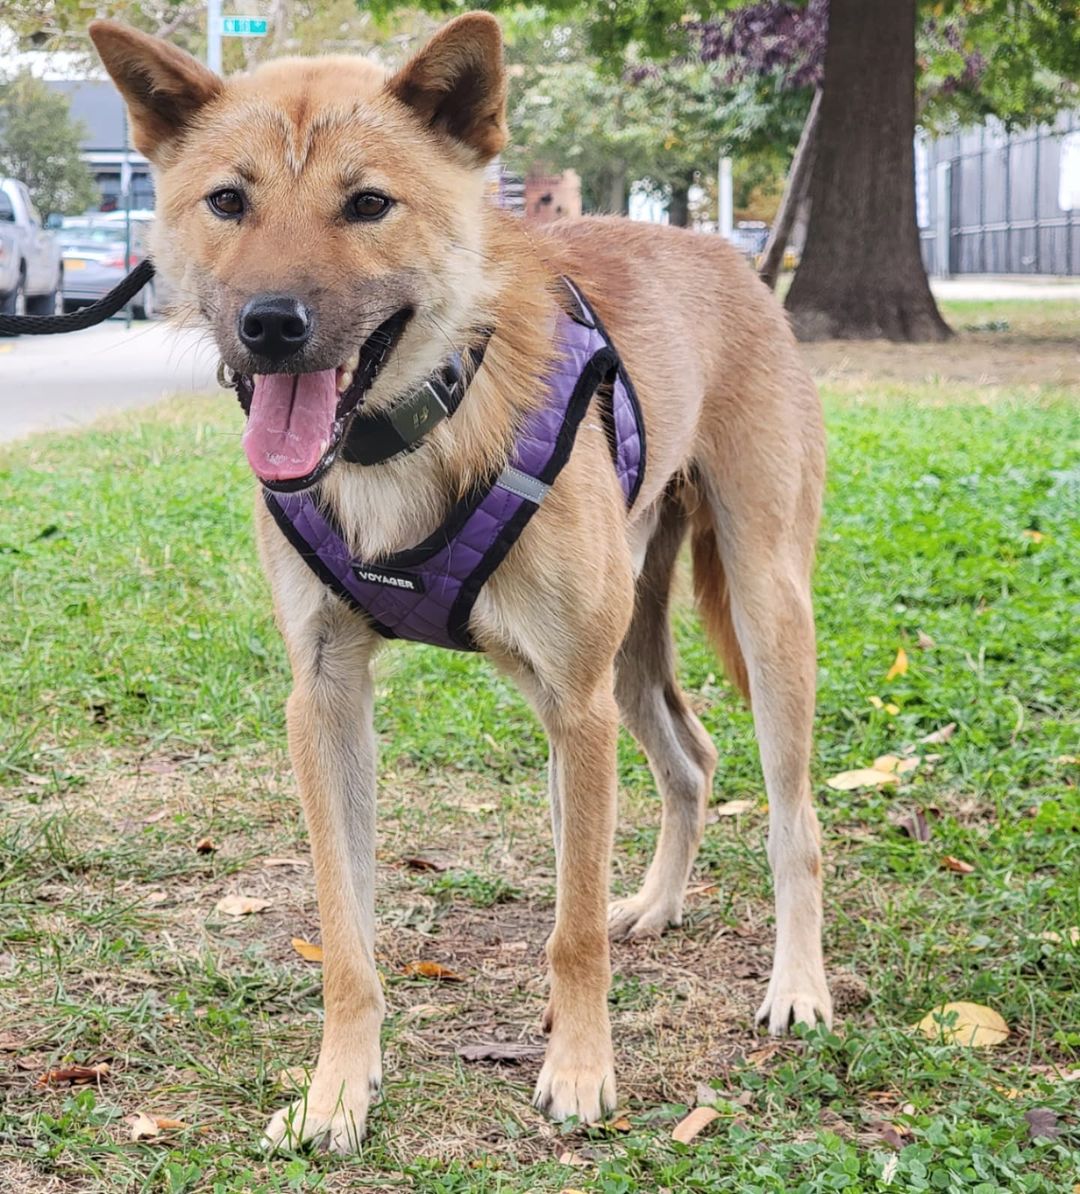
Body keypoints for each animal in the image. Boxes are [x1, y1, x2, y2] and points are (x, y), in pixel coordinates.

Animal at [92, 9, 830, 1146]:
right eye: (226, 201)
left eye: (367, 204)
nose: (269, 324)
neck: (400, 436)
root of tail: (721, 247)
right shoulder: (328, 695)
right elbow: (347, 935)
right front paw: (337, 1088)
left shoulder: (574, 703)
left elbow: (573, 930)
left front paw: (580, 1072)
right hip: (618, 655)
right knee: (691, 760)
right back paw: (656, 906)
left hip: (754, 615)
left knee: (793, 821)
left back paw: (797, 985)